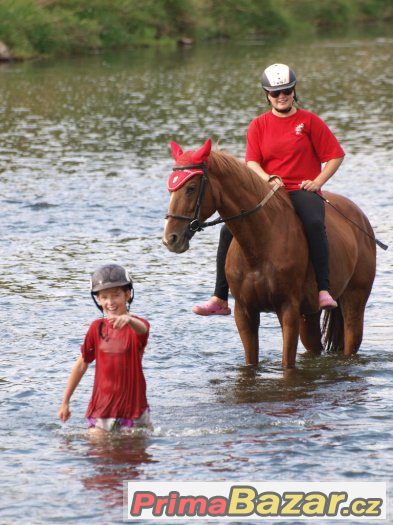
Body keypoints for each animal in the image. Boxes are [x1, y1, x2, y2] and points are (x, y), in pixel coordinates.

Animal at [162, 140, 374, 368]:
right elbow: (251, 360)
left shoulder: (289, 311)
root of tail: (360, 218)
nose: (170, 239)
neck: (261, 243)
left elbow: (287, 364)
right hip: (310, 314)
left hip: (354, 302)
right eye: (170, 189)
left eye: (191, 188)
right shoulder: (244, 312)